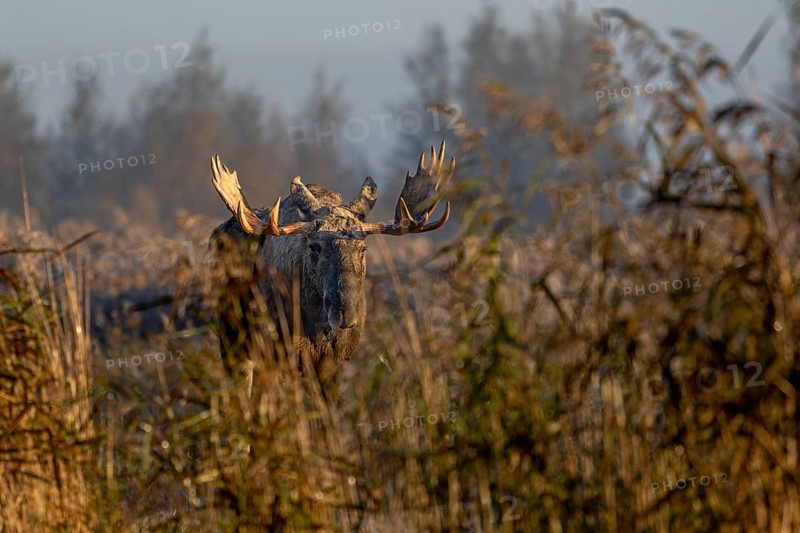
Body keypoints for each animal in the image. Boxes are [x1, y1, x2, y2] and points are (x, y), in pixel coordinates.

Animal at [209, 141, 455, 381]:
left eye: (363, 248)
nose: (345, 312)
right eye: (314, 247)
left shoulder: (332, 362)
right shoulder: (286, 351)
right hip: (234, 339)